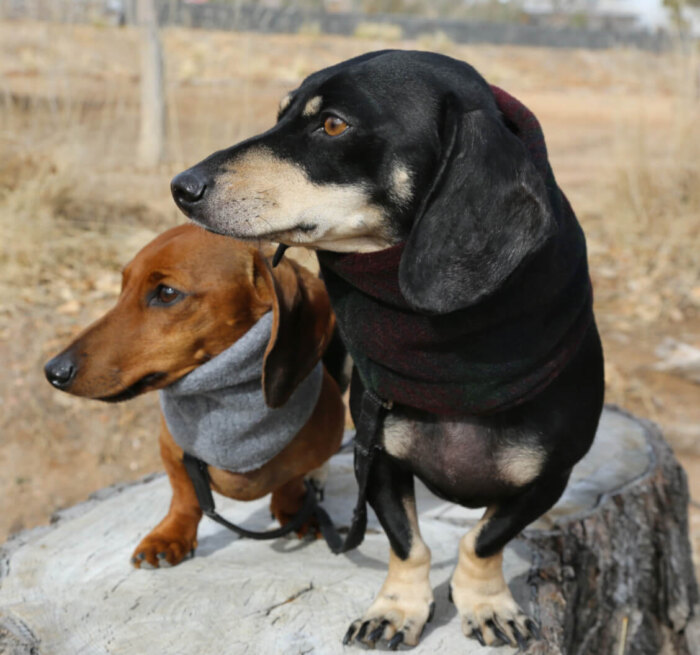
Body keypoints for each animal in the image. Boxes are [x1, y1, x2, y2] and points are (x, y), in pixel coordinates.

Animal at [43, 224, 344, 568]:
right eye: (123, 287)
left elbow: (292, 479)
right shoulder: (172, 449)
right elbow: (185, 497)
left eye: (167, 293)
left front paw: (295, 510)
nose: (53, 371)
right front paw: (171, 535)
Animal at [172, 52, 604, 652]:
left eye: (333, 124)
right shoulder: (376, 457)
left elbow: (482, 541)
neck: (450, 349)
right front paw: (397, 609)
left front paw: (487, 603)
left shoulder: (548, 478)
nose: (180, 186)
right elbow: (409, 544)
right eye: (281, 114)